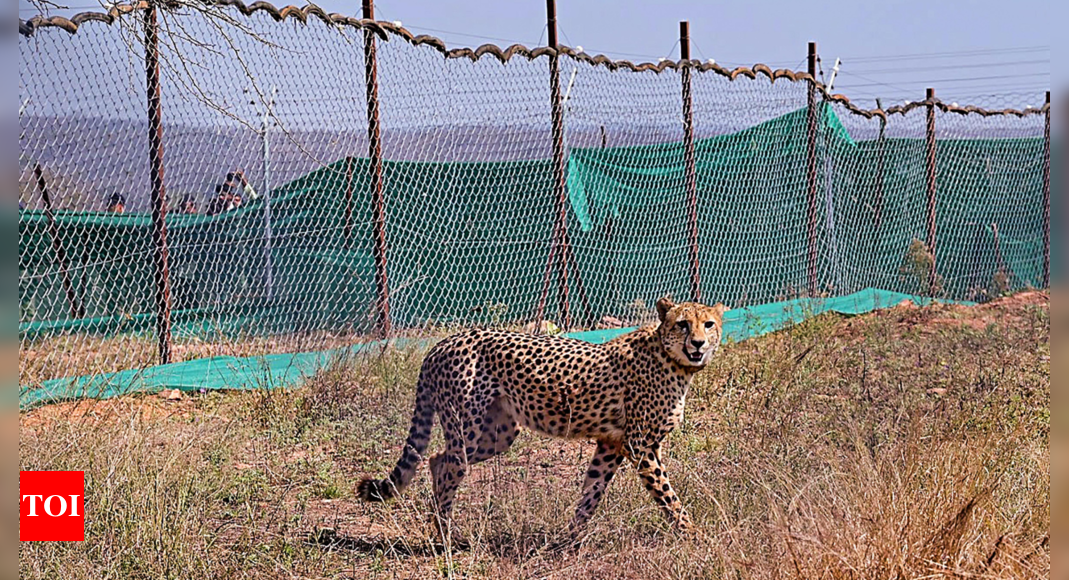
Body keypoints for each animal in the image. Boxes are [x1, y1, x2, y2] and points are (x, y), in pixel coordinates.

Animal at [359, 296, 726, 542]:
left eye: (708, 324)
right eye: (683, 324)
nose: (698, 343)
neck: (672, 358)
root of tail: (442, 343)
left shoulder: (611, 444)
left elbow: (591, 493)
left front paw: (569, 540)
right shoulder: (640, 446)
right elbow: (668, 495)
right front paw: (694, 535)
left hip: (498, 435)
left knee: (437, 459)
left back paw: (443, 529)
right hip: (468, 428)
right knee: (450, 467)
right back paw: (445, 538)